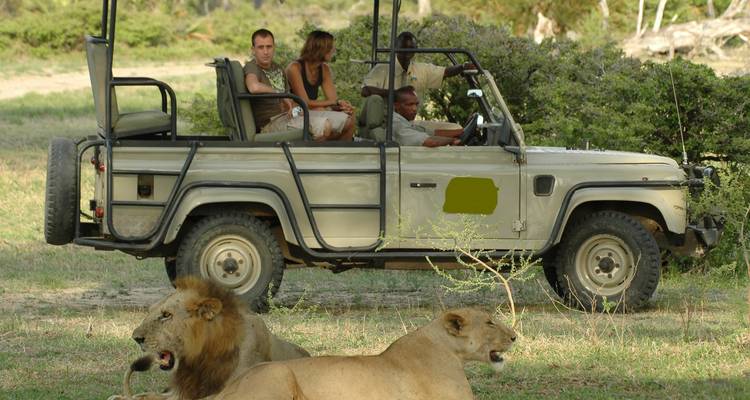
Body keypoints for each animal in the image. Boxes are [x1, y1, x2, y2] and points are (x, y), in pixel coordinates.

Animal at [108, 276, 309, 400]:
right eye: (150, 311)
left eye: (166, 315)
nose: (136, 338)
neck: (200, 359)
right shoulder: (183, 390)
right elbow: (147, 395)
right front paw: (120, 396)